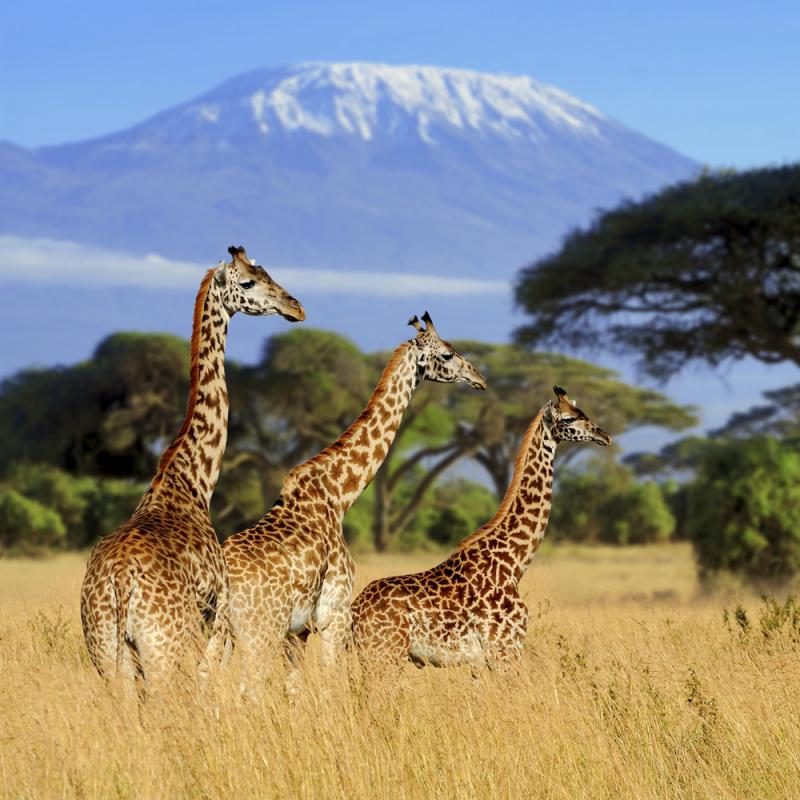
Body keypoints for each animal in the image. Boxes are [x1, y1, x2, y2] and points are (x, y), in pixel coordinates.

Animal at [80, 246, 305, 690]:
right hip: (163, 647)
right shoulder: (217, 616)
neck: (193, 480)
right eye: (249, 281)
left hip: (106, 651)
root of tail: (120, 580)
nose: (296, 307)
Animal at [222, 312, 487, 687]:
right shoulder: (334, 614)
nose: (479, 379)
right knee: (248, 686)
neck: (339, 495)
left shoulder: (299, 631)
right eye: (447, 354)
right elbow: (331, 682)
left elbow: (294, 687)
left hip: (221, 633)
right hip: (260, 630)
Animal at [351, 385, 611, 668]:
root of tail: (354, 611)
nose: (604, 436)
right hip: (383, 654)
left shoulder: (483, 661)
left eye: (582, 412)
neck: (514, 564)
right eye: (568, 419)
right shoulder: (504, 650)